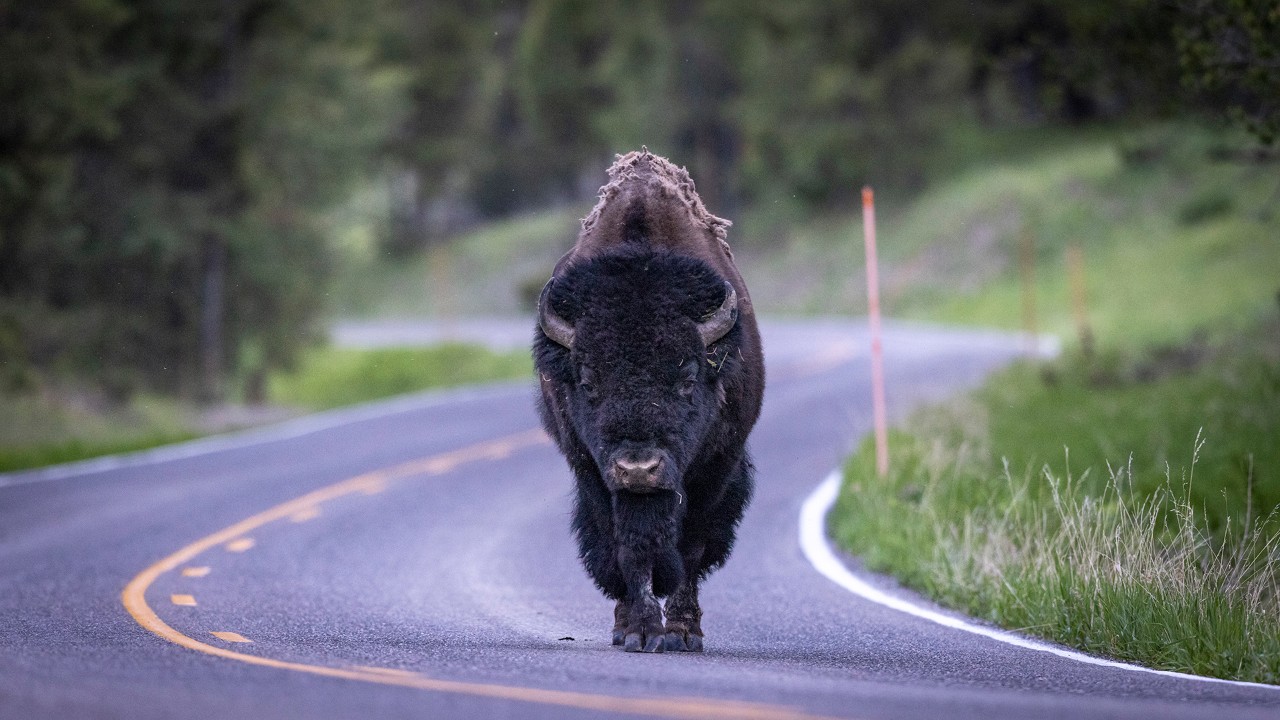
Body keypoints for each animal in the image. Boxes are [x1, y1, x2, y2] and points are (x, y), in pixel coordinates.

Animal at [533, 150, 764, 653]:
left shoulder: (713, 467)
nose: (638, 468)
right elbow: (628, 545)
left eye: (688, 377)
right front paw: (640, 629)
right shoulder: (592, 469)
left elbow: (689, 543)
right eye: (588, 380)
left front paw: (680, 631)